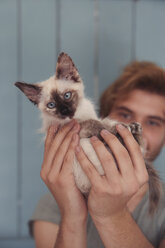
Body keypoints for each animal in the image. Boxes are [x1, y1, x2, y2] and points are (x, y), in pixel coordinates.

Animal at [15, 51, 161, 213]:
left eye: (67, 95)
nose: (66, 112)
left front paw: (126, 126)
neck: (78, 115)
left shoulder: (94, 118)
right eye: (51, 105)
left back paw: (133, 129)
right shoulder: (74, 128)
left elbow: (102, 122)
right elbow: (95, 124)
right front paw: (114, 130)